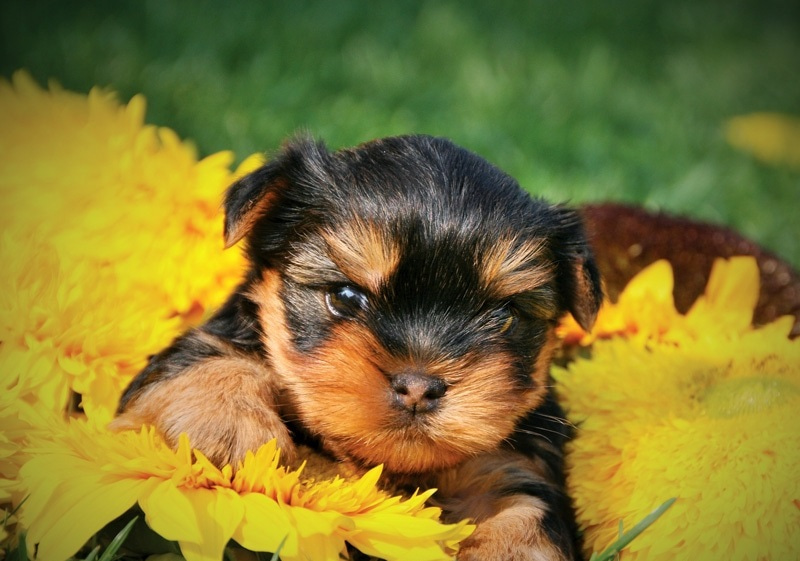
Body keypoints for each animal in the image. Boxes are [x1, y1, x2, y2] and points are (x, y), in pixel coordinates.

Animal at [112, 136, 600, 560]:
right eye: (346, 297)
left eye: (504, 316)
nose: (418, 387)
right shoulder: (202, 345)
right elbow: (199, 356)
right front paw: (226, 428)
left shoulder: (516, 464)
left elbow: (528, 511)